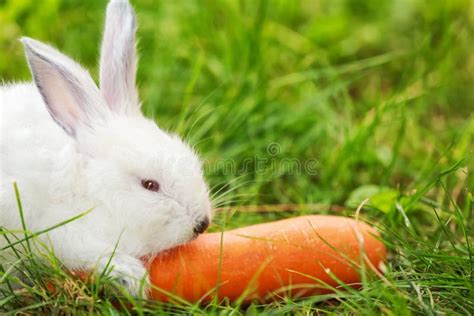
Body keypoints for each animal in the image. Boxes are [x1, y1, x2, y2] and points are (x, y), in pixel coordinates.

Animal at [0, 0, 211, 296]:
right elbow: (94, 255)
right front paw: (134, 279)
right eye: (150, 185)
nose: (202, 223)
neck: (91, 190)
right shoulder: (63, 234)